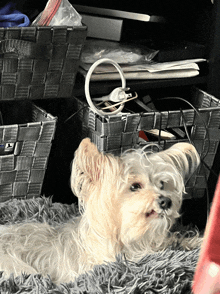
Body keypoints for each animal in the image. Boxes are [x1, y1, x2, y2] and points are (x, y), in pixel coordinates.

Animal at [0, 139, 201, 284]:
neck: (131, 241)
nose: (167, 201)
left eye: (162, 184)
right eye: (135, 186)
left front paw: (194, 241)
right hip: (18, 267)